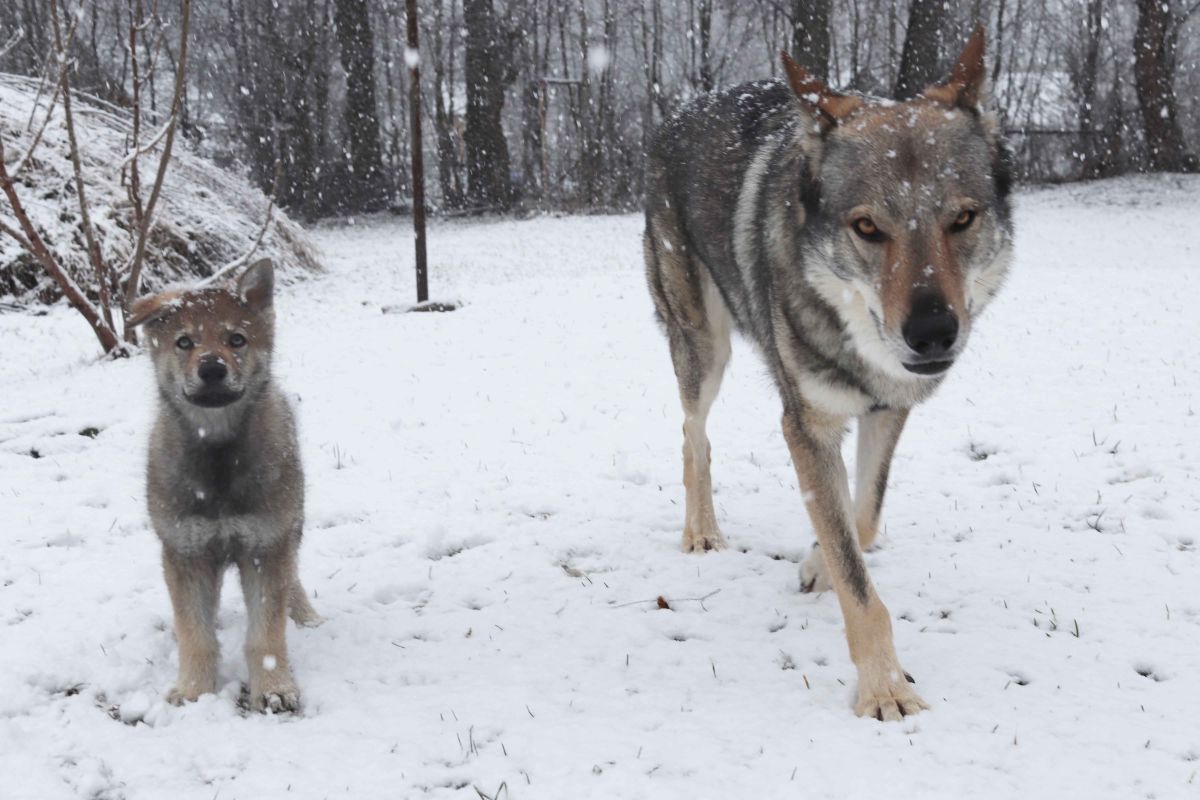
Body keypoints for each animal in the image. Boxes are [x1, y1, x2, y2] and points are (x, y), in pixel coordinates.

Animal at [129, 260, 321, 710]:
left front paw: (274, 688)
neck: (217, 454)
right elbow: (194, 631)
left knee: (293, 577)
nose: (212, 368)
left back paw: (305, 616)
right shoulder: (185, 552)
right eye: (184, 342)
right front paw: (194, 689)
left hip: (290, 525)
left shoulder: (266, 546)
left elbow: (266, 633)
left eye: (237, 339)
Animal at [648, 29, 1012, 719]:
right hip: (704, 347)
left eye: (962, 219)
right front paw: (885, 690)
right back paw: (701, 532)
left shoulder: (888, 408)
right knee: (690, 432)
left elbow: (860, 518)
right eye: (868, 227)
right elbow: (858, 578)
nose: (932, 332)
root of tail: (683, 109)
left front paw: (819, 564)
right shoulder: (804, 425)